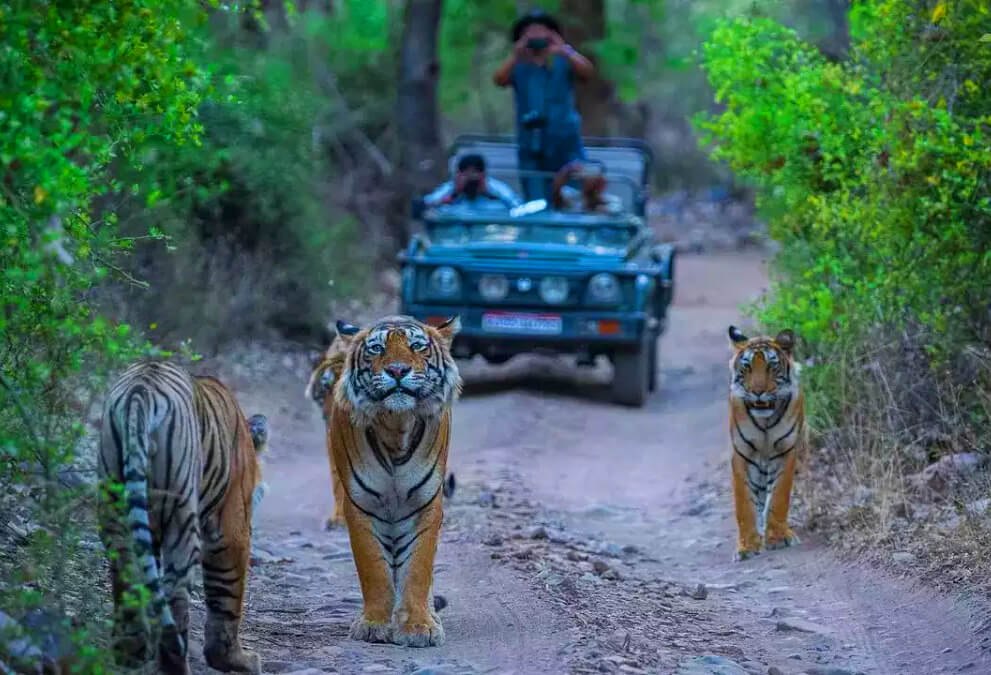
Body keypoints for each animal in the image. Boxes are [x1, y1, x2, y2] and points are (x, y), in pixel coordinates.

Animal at [97, 361, 267, 674]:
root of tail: (141, 391)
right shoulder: (231, 527)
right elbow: (227, 595)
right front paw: (235, 660)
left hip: (115, 504)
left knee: (129, 577)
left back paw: (131, 653)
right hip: (182, 517)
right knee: (174, 594)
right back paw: (175, 663)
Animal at [326, 314, 461, 647]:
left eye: (417, 347)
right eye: (377, 349)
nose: (397, 370)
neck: (396, 426)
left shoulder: (426, 503)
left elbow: (419, 568)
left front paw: (418, 626)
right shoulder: (360, 505)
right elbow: (373, 567)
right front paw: (374, 623)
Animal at [728, 326, 806, 562]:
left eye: (772, 366)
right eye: (747, 367)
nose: (758, 391)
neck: (765, 422)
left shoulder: (785, 452)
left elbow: (779, 496)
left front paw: (778, 538)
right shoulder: (742, 454)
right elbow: (744, 504)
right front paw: (746, 547)